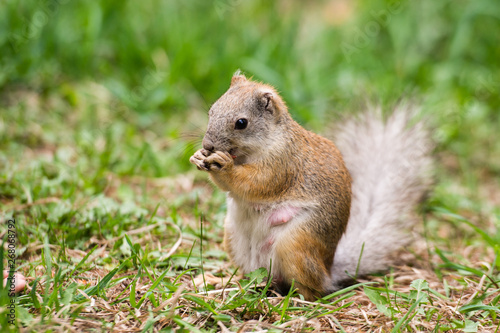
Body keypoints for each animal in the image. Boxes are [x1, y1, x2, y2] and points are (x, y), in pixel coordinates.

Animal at [189, 73, 432, 300]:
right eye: (212, 110)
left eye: (241, 123)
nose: (207, 145)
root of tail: (328, 271)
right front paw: (198, 157)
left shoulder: (283, 164)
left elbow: (254, 183)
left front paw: (224, 165)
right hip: (233, 238)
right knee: (253, 276)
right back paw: (227, 282)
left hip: (295, 245)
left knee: (312, 289)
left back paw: (296, 300)